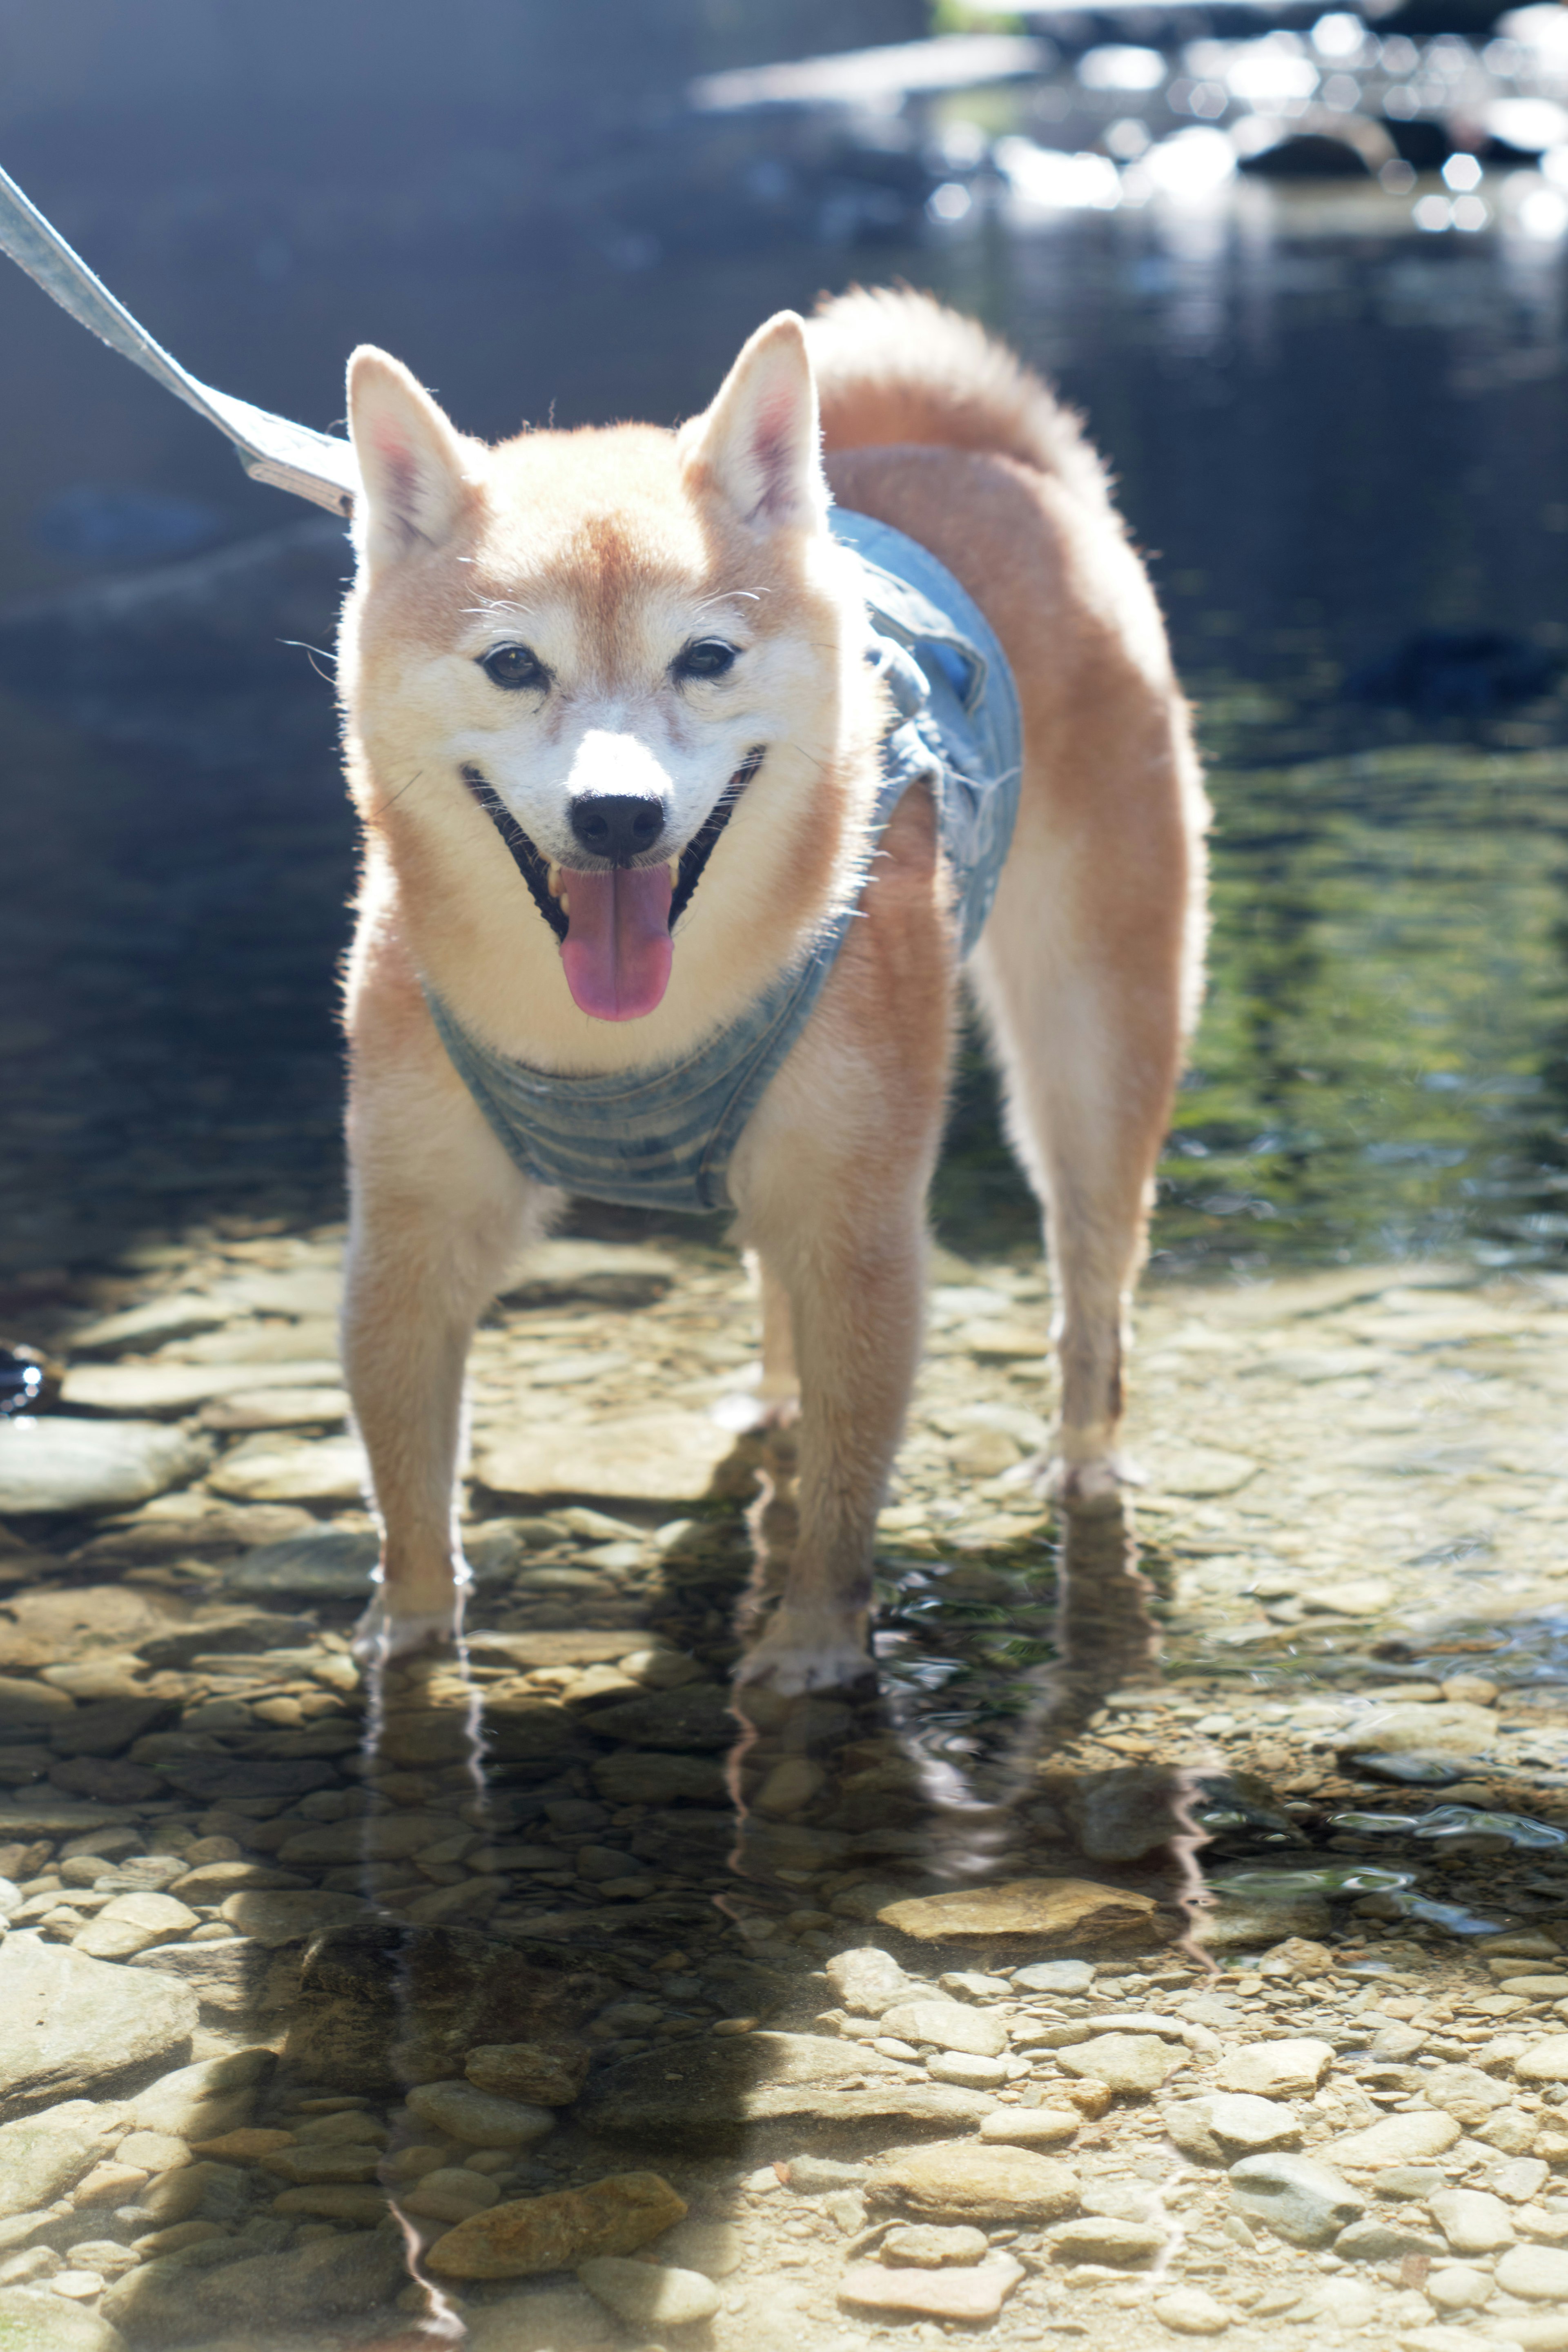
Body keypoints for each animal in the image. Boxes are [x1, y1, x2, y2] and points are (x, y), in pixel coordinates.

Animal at [339, 289, 1213, 1693]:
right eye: (513, 667)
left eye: (704, 657)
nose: (620, 814)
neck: (615, 1043)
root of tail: (992, 463)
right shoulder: (410, 1234)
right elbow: (407, 1485)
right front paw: (407, 1635)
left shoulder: (861, 1227)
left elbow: (846, 1491)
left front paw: (812, 1642)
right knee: (779, 1311)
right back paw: (771, 1402)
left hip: (1090, 1053)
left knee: (1092, 1299)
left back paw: (1080, 1463)